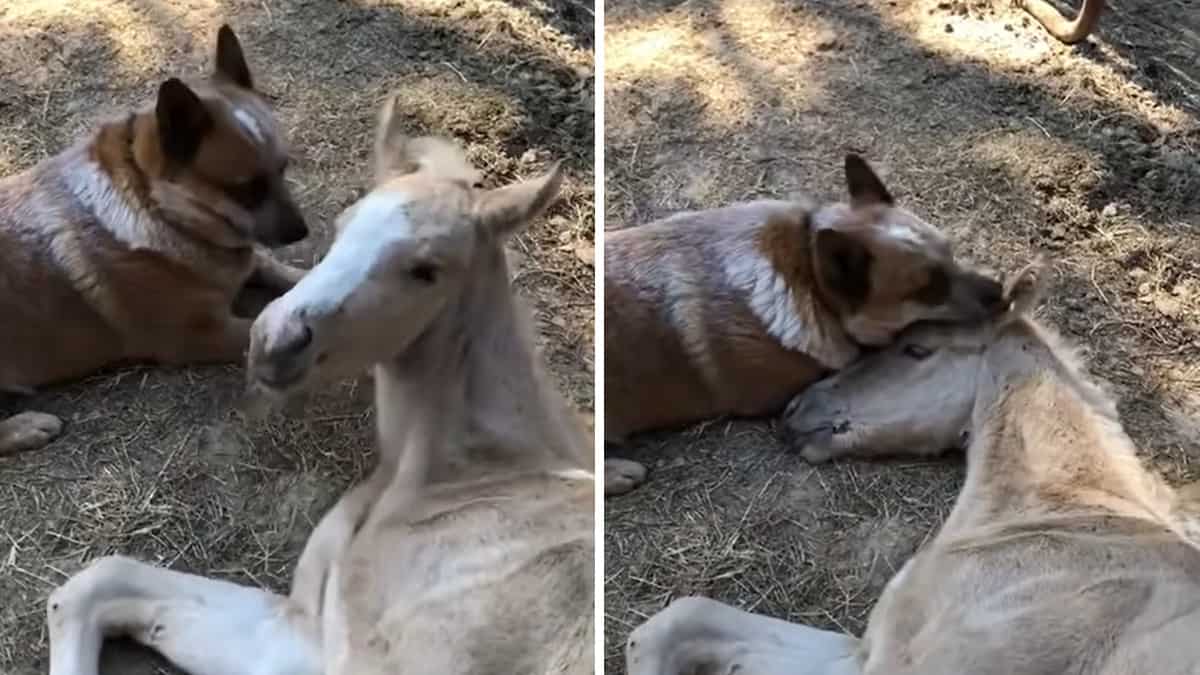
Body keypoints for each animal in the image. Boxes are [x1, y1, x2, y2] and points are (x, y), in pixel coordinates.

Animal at [2, 27, 309, 456]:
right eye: (246, 189)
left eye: (284, 167)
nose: (302, 232)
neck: (159, 207)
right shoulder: (198, 336)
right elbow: (257, 332)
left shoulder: (244, 262)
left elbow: (284, 271)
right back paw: (27, 427)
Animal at [48, 97, 595, 672]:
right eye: (343, 224)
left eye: (427, 270)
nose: (275, 340)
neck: (465, 477)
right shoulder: (306, 629)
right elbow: (99, 580)